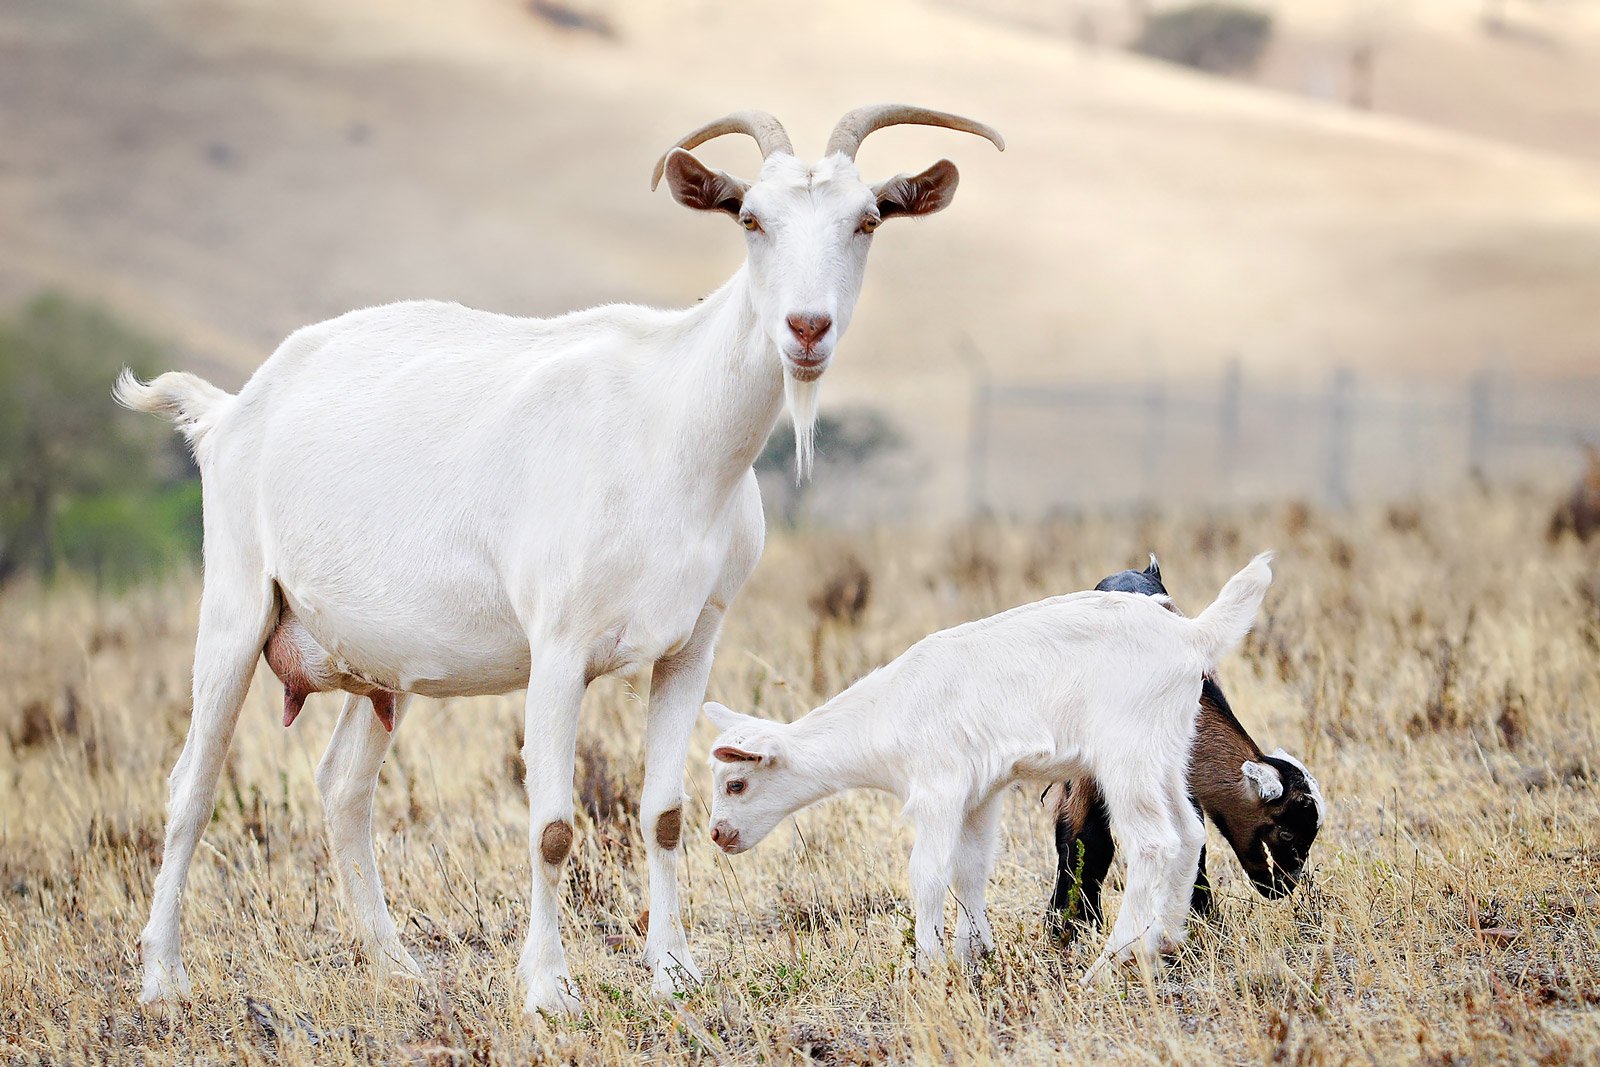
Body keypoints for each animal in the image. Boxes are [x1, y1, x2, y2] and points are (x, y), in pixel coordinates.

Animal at [116, 103, 998, 1017]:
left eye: (867, 221)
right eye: (751, 219)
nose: (807, 328)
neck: (670, 430)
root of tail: (229, 411)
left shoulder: (694, 643)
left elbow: (664, 813)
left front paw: (673, 970)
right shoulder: (559, 645)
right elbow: (552, 825)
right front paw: (548, 988)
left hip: (381, 664)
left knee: (341, 787)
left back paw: (396, 965)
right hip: (237, 603)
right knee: (191, 786)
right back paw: (162, 976)